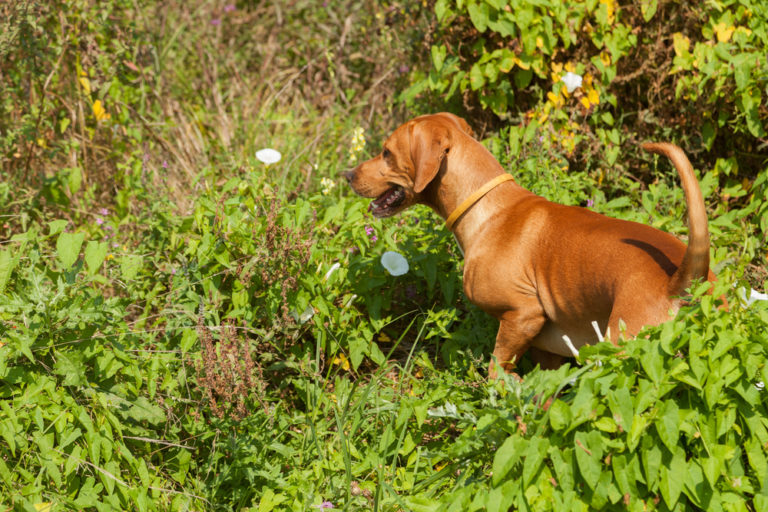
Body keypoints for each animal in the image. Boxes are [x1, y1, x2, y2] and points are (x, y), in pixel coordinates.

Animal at [342, 113, 712, 376]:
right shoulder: (547, 351)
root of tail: (682, 279)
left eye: (386, 153)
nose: (347, 174)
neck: (487, 208)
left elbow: (498, 372)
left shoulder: (522, 315)